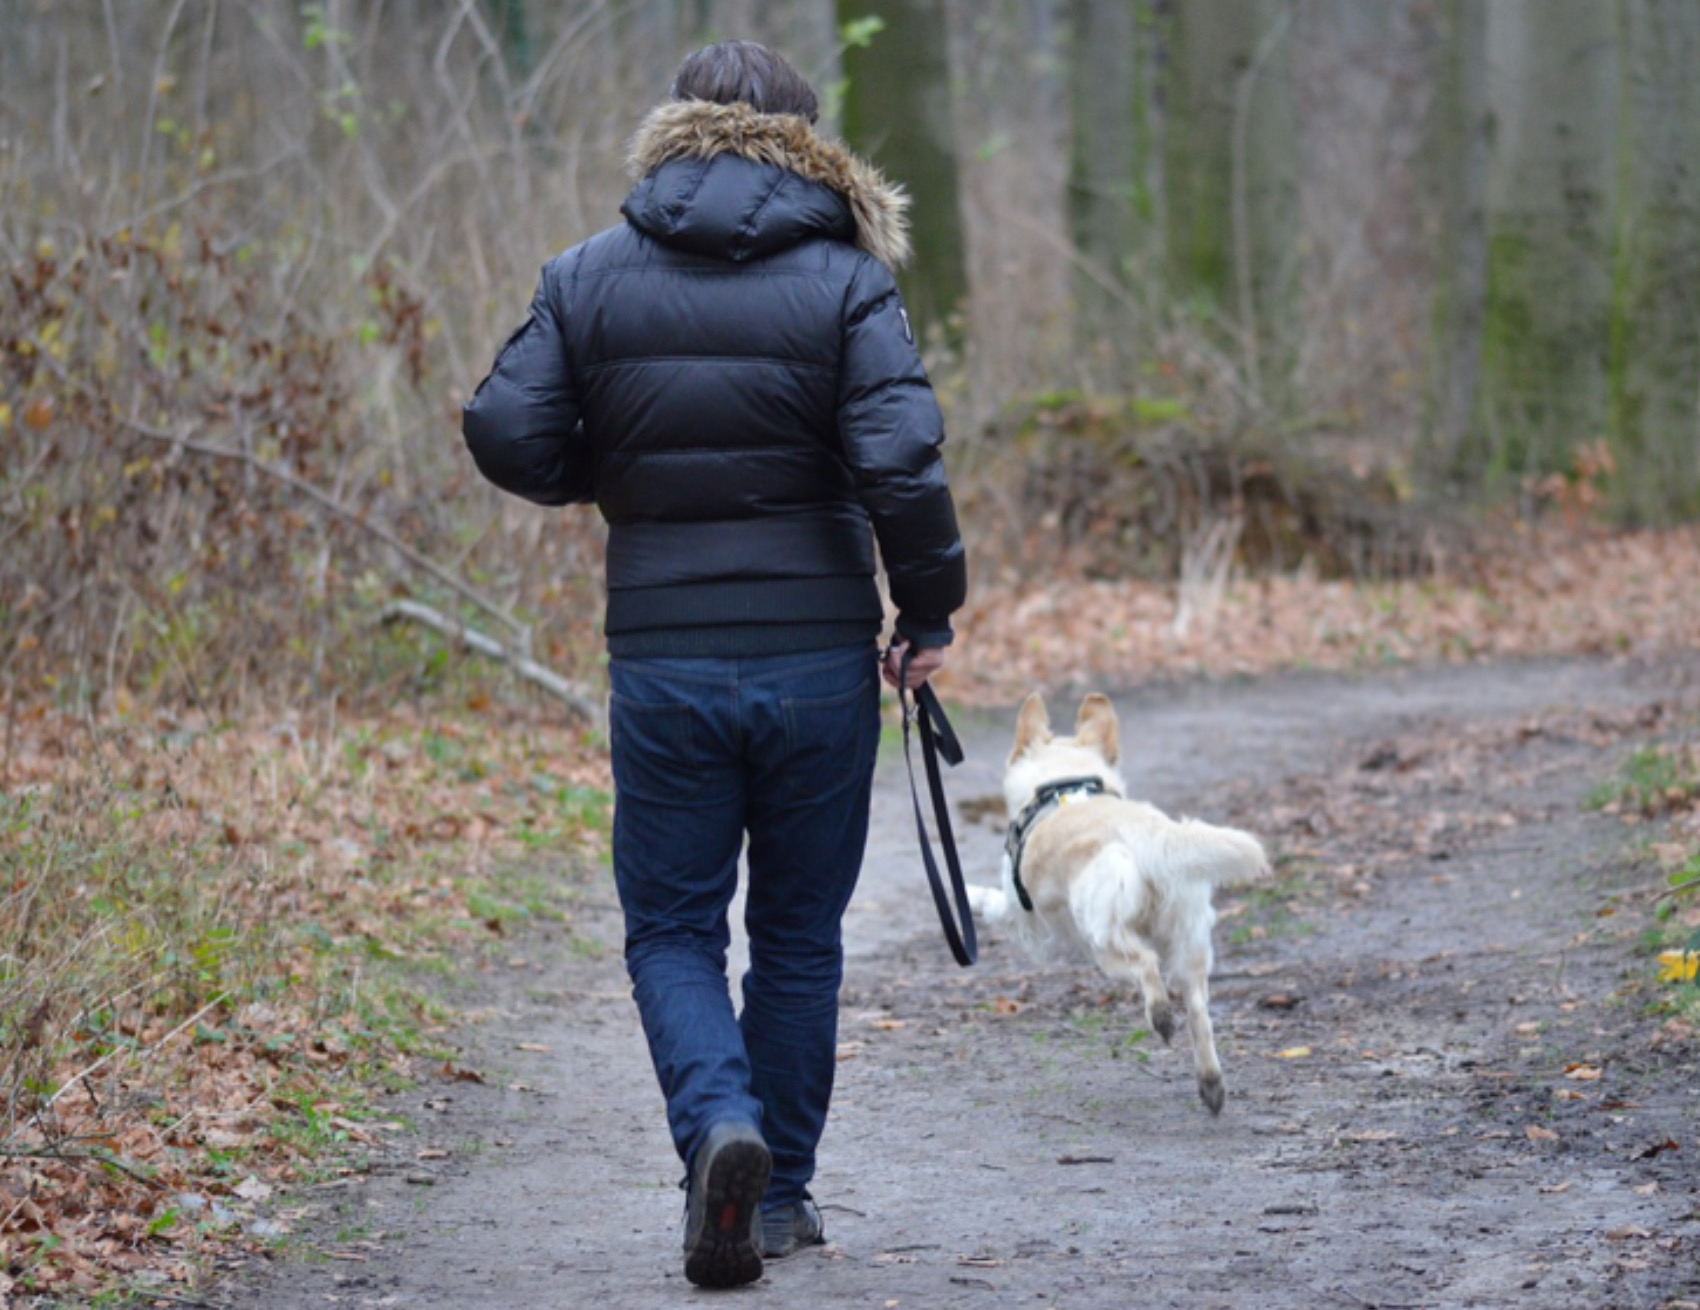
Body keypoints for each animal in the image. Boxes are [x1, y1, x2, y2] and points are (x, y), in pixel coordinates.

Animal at [979, 693, 1271, 1114]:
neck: (1065, 785)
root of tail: (1150, 834)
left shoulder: (1023, 917)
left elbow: (990, 901)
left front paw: (969, 896)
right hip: (1190, 945)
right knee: (1199, 1014)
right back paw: (1211, 1084)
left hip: (1103, 942)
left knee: (1147, 966)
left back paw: (1161, 1017)